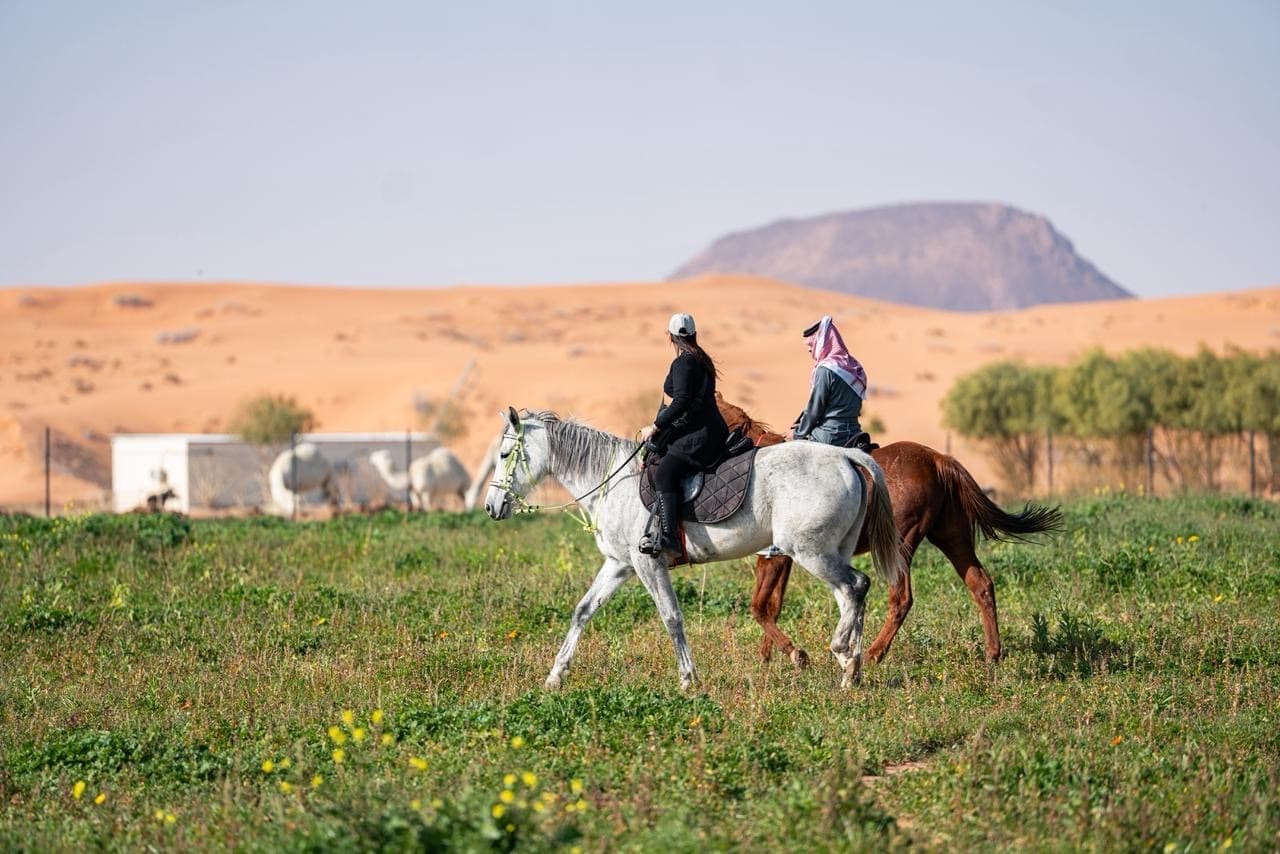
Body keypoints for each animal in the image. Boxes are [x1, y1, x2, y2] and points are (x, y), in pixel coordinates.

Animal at [483, 407, 906, 690]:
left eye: (504, 455)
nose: (490, 507)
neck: (611, 481)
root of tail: (844, 456)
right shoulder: (619, 563)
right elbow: (583, 611)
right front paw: (555, 676)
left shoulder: (647, 562)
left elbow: (672, 618)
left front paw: (689, 679)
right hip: (830, 551)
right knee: (851, 595)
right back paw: (851, 669)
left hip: (810, 552)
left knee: (856, 586)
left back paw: (843, 653)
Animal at [715, 393, 1062, 666]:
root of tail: (938, 459)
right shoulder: (784, 557)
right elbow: (772, 605)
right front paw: (769, 657)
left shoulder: (772, 556)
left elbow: (759, 606)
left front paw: (792, 653)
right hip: (952, 536)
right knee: (981, 584)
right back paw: (993, 654)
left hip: (901, 544)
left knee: (902, 598)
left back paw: (873, 654)